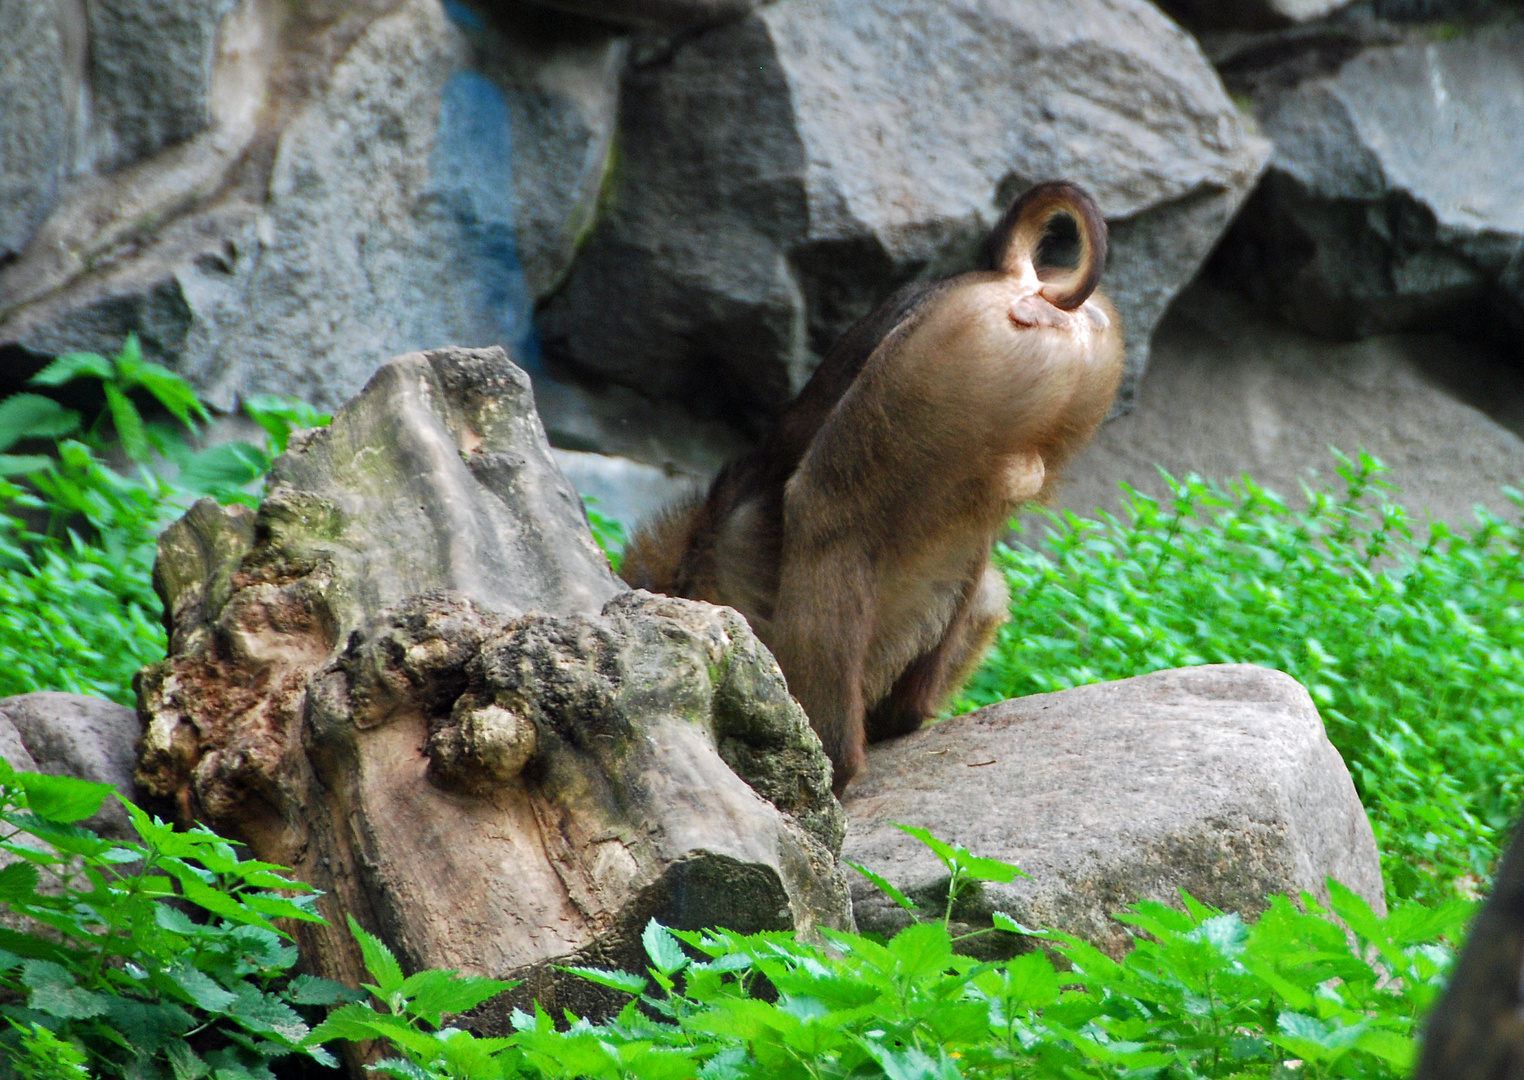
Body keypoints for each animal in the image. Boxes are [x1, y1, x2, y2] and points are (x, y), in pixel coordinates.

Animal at [612, 181, 1127, 792]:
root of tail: (1020, 283)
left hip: (932, 371)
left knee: (827, 512)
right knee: (977, 566)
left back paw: (831, 759)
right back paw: (896, 720)